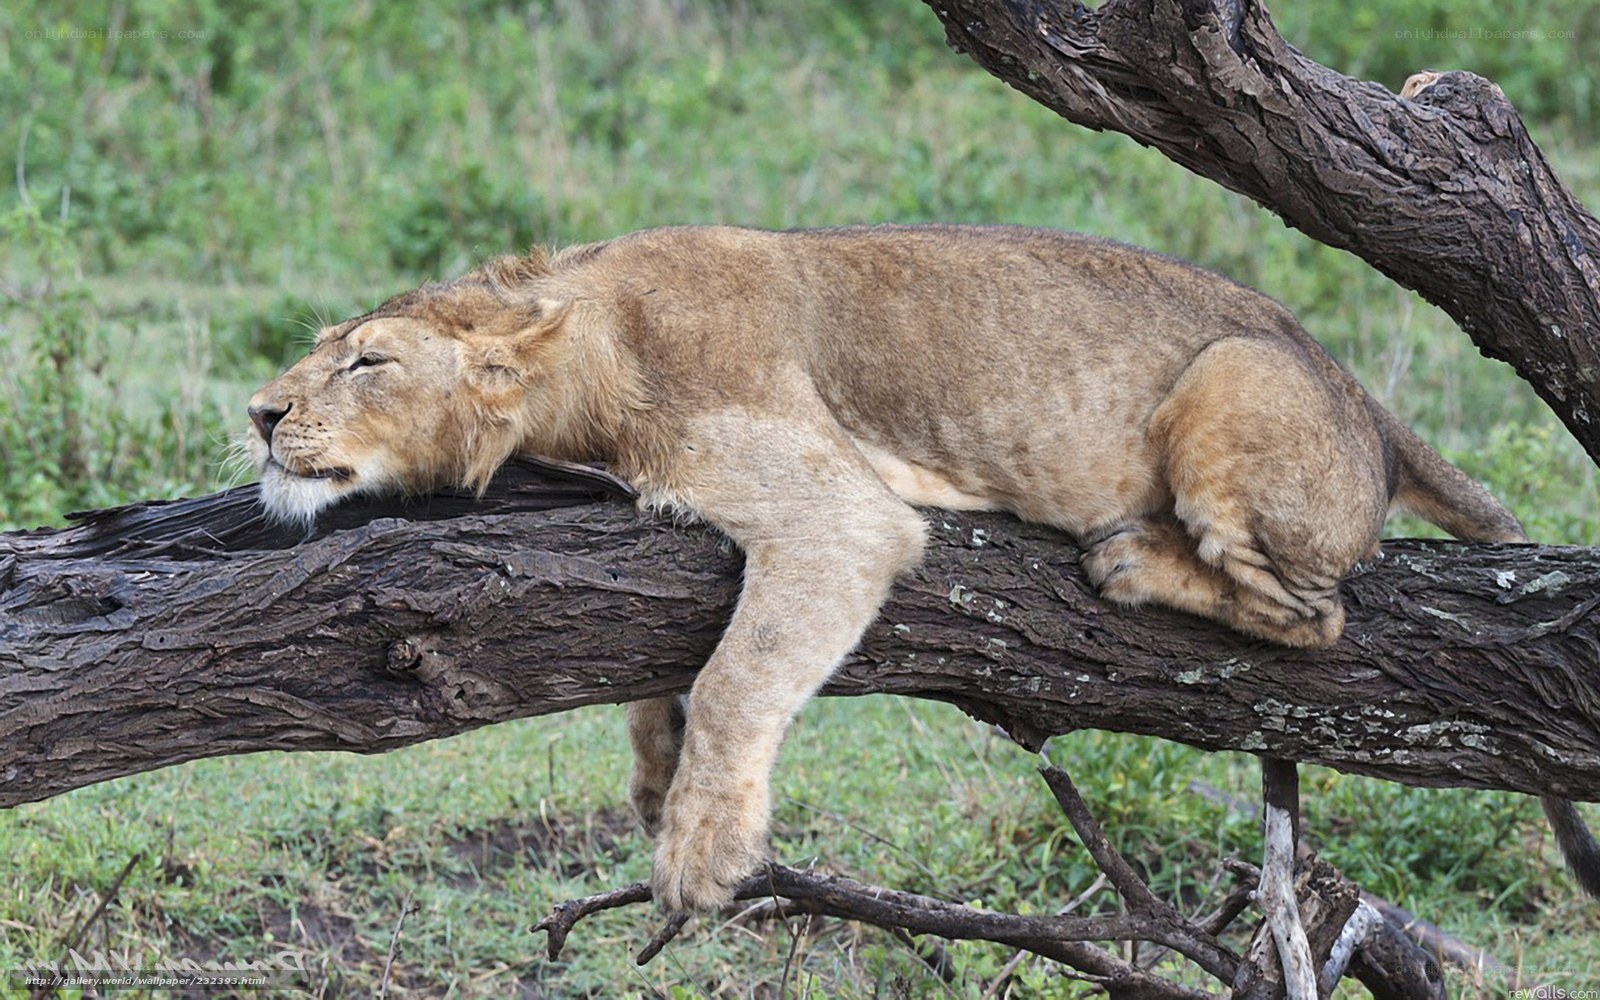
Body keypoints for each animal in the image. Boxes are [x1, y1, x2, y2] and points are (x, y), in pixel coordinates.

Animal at [247, 223, 1600, 912]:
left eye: (367, 361)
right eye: (320, 352)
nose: (257, 414)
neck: (580, 359)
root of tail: (1360, 394)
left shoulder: (840, 511)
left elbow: (741, 676)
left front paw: (699, 850)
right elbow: (671, 673)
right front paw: (651, 773)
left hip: (1230, 380)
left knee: (1316, 617)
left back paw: (1131, 561)